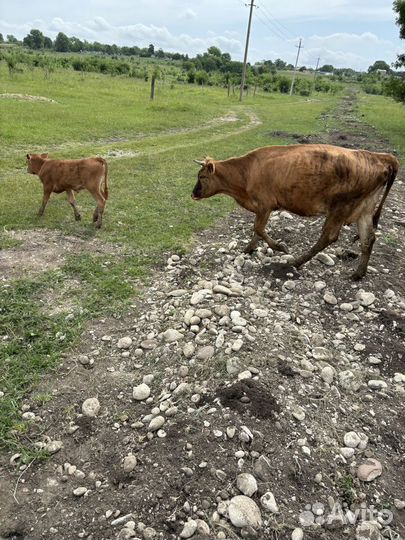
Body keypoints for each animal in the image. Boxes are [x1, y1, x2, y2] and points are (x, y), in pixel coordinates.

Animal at [190, 143, 398, 278]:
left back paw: (296, 262)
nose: (193, 194)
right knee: (368, 239)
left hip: (340, 206)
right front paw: (249, 248)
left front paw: (279, 247)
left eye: (202, 177)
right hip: (364, 209)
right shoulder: (261, 208)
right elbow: (257, 230)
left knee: (328, 237)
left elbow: (258, 228)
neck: (246, 172)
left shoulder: (265, 204)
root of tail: (380, 157)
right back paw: (358, 273)